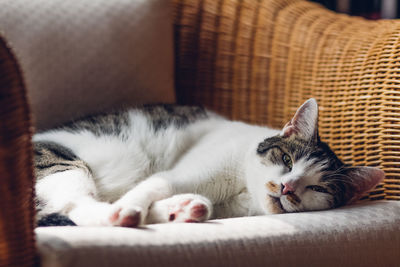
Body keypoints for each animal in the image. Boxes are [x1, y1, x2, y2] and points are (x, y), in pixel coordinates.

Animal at [34, 98, 384, 228]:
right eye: (287, 160)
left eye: (317, 188)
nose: (287, 187)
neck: (243, 191)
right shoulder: (187, 171)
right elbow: (154, 184)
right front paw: (129, 207)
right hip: (61, 164)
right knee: (75, 207)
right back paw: (126, 214)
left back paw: (185, 209)